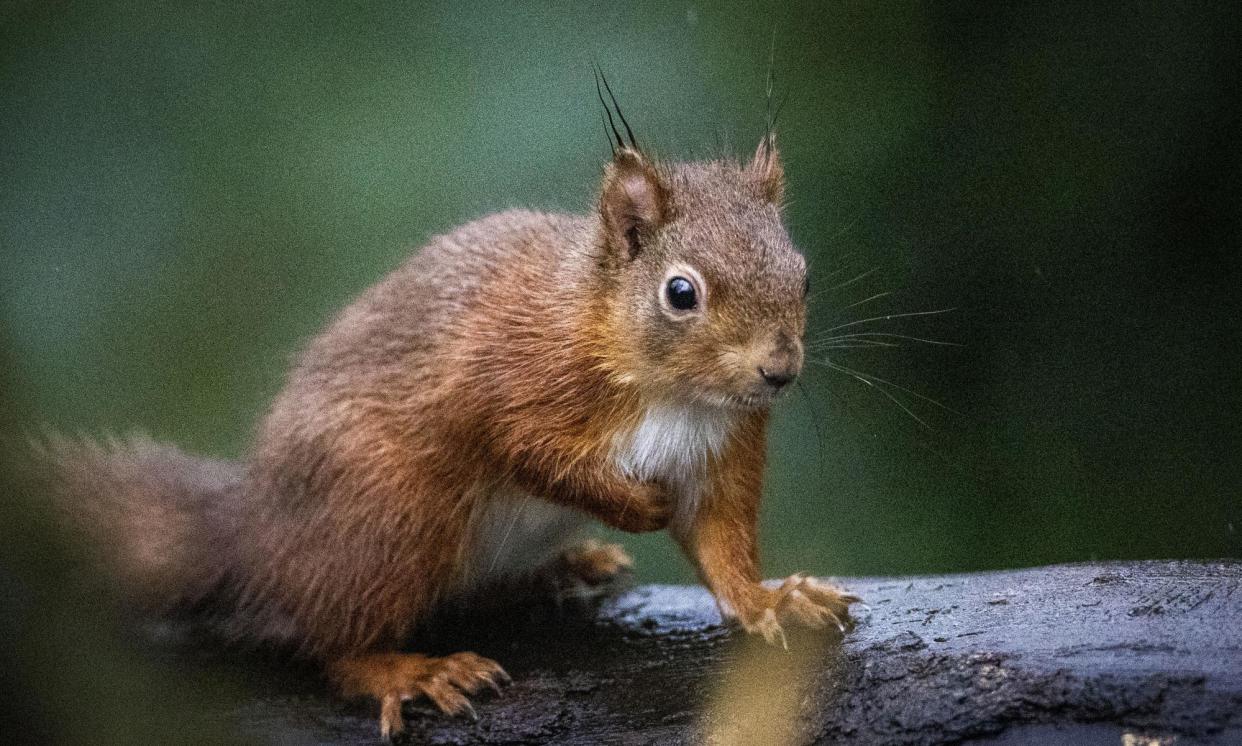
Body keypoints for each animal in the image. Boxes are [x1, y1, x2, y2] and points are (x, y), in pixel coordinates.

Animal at [36, 94, 854, 739]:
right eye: (681, 293)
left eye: (805, 275)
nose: (779, 371)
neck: (673, 393)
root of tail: (255, 538)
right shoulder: (501, 379)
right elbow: (525, 450)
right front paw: (634, 506)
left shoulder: (725, 449)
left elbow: (721, 543)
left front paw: (772, 598)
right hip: (391, 513)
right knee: (327, 640)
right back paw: (404, 670)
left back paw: (561, 569)